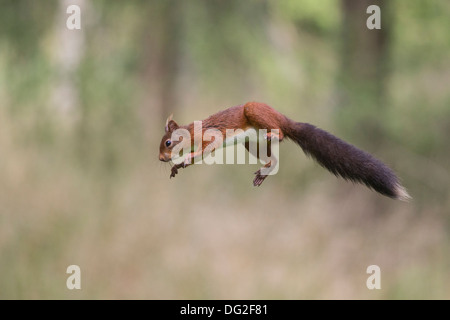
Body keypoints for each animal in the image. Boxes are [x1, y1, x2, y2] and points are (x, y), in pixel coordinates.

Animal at [159, 101, 412, 201]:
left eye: (168, 143)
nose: (161, 158)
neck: (191, 132)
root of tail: (284, 119)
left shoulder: (209, 136)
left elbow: (206, 147)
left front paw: (185, 157)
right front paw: (176, 166)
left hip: (255, 111)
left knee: (280, 133)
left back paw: (276, 134)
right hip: (252, 143)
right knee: (274, 160)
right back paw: (264, 172)